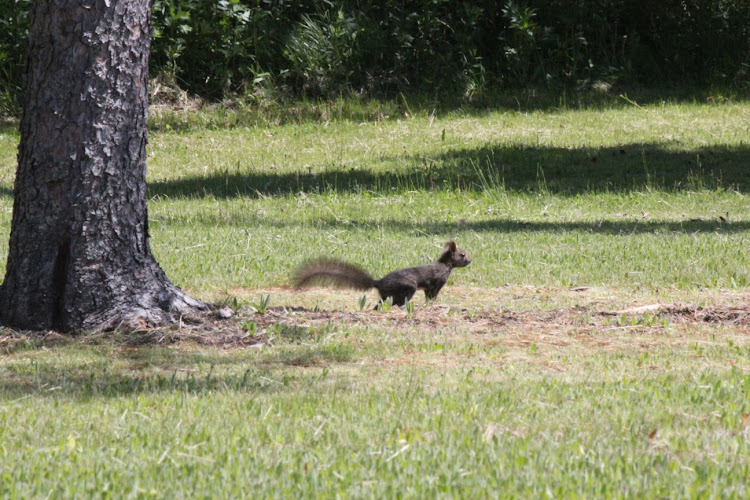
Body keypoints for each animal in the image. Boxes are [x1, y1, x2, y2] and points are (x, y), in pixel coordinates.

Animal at [292, 239, 470, 304]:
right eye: (462, 254)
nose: (470, 260)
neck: (445, 265)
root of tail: (379, 283)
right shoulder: (437, 282)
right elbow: (432, 294)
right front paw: (432, 303)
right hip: (407, 288)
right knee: (399, 301)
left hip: (387, 295)